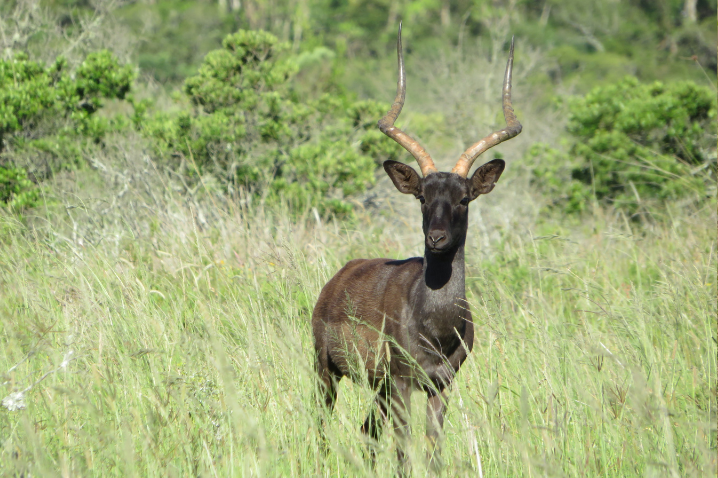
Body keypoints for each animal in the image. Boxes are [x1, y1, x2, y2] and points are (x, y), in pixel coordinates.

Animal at [312, 23, 521, 471]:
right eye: (422, 196)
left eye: (464, 198)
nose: (436, 239)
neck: (436, 325)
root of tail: (338, 278)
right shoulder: (405, 383)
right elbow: (405, 452)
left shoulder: (441, 386)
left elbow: (433, 450)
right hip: (327, 372)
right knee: (323, 427)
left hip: (376, 388)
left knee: (365, 432)